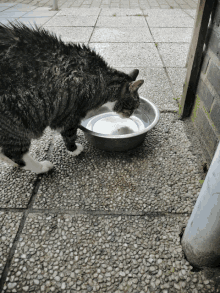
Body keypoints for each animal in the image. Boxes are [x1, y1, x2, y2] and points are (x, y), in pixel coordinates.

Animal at [0, 22, 144, 173]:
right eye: (134, 106)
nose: (130, 115)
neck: (102, 81)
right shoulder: (68, 115)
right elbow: (69, 134)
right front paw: (74, 149)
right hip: (16, 123)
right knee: (14, 153)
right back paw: (41, 167)